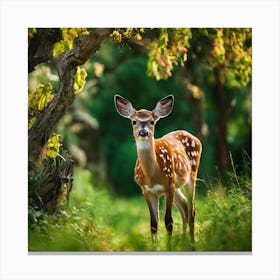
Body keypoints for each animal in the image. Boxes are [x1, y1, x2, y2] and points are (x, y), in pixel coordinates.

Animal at [114, 94, 201, 247]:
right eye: (134, 121)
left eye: (152, 122)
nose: (143, 132)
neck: (153, 175)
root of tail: (194, 137)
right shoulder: (146, 190)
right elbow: (153, 224)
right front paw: (155, 247)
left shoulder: (168, 186)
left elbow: (169, 222)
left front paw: (169, 247)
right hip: (177, 186)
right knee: (184, 207)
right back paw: (183, 242)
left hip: (191, 176)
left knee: (192, 211)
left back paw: (191, 244)